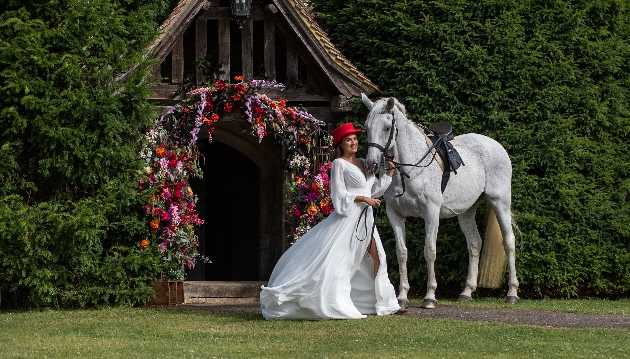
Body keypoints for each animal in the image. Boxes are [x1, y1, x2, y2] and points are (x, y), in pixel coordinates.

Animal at [362, 95, 520, 310]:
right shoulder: (395, 214)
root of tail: (496, 146)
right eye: (367, 126)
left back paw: (512, 293)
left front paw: (429, 297)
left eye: (387, 127)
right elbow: (401, 253)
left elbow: (429, 251)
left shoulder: (431, 212)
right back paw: (466, 292)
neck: (410, 169)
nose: (372, 165)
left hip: (500, 201)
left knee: (509, 241)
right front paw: (402, 296)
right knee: (474, 243)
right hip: (466, 211)